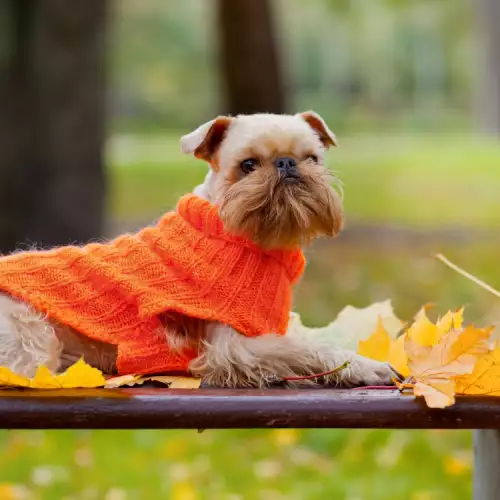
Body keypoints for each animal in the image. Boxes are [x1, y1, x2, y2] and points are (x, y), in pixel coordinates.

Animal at [0, 111, 398, 388]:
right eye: (248, 165)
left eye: (313, 159)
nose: (286, 163)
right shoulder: (235, 347)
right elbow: (309, 349)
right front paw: (367, 366)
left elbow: (316, 337)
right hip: (33, 339)